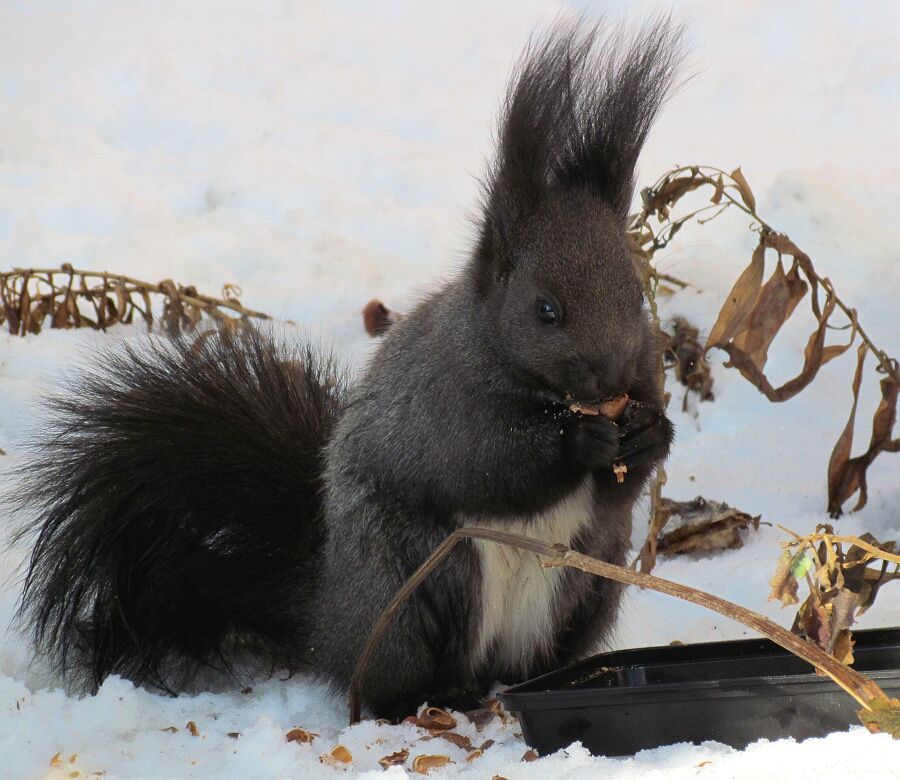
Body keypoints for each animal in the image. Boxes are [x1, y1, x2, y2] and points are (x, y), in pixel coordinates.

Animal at [14, 21, 680, 720]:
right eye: (545, 311)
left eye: (635, 295)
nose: (608, 382)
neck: (533, 385)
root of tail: (326, 621)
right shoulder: (439, 398)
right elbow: (477, 462)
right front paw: (578, 440)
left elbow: (620, 490)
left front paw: (648, 435)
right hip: (422, 582)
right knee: (398, 677)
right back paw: (441, 693)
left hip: (589, 583)